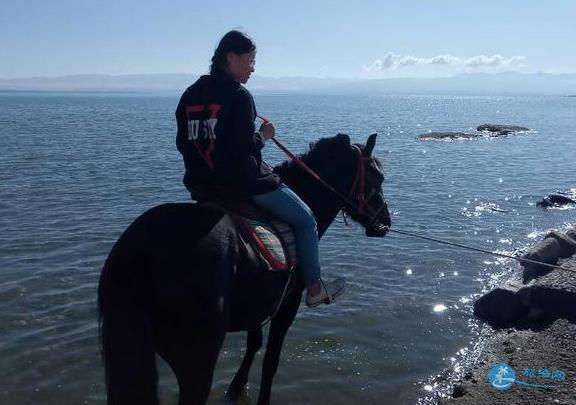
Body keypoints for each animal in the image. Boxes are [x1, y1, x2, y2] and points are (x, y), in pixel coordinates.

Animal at [98, 131, 392, 402]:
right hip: (196, 359)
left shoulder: (261, 301)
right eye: (378, 178)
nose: (385, 222)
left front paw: (237, 386)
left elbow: (254, 343)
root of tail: (140, 250)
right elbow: (270, 360)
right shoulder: (287, 304)